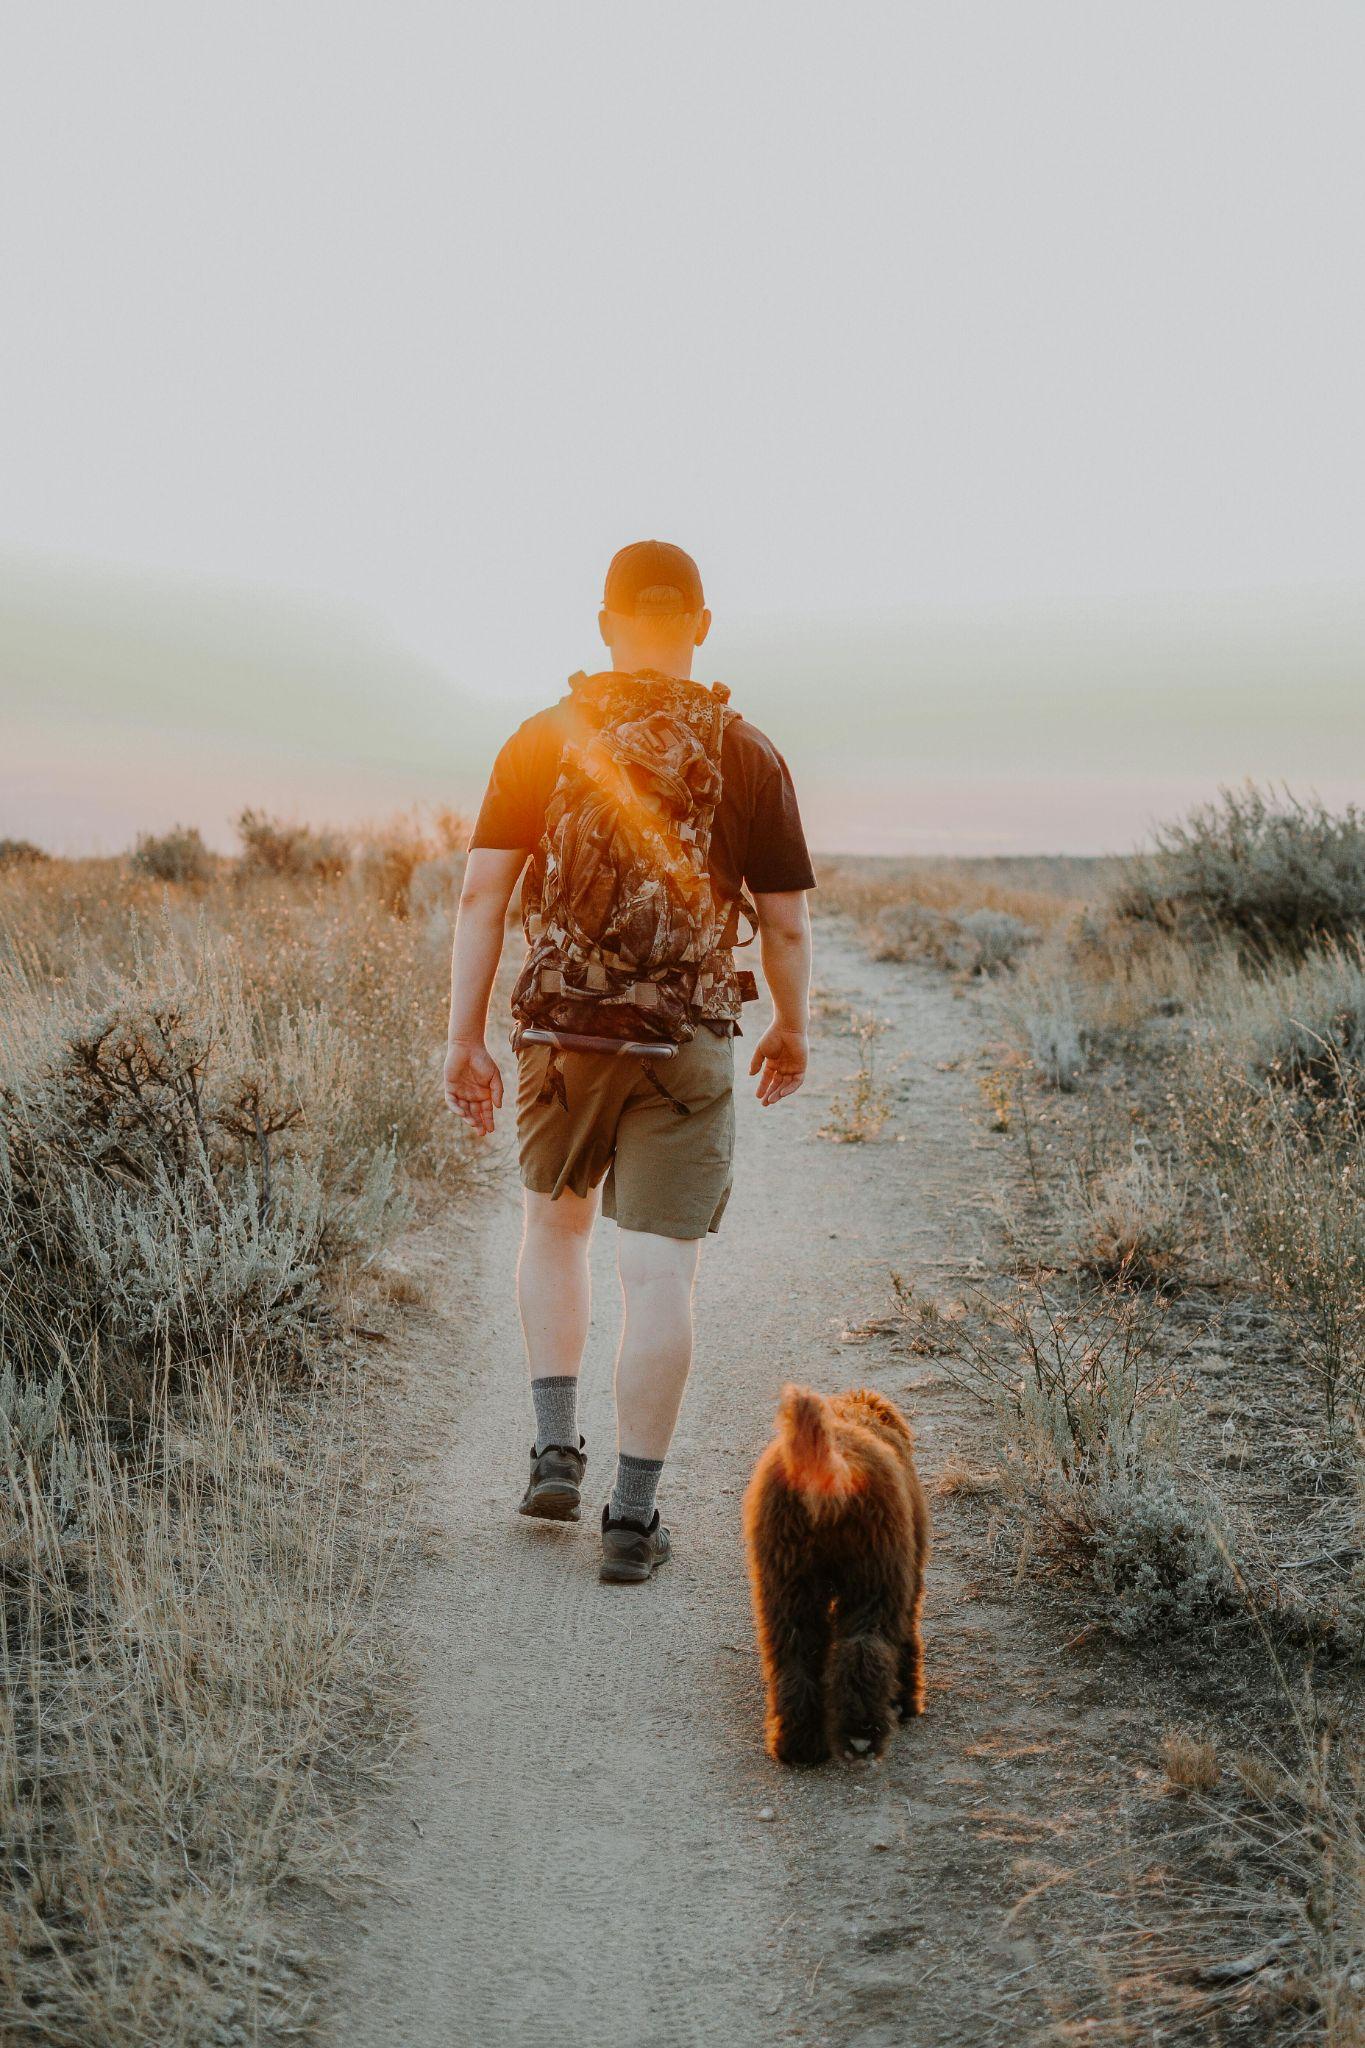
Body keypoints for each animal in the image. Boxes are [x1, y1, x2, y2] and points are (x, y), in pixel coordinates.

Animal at [749, 1384, 929, 1769]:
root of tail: (832, 1469)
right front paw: (907, 1701)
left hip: (788, 1583)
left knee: (796, 1655)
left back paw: (799, 1746)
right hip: (877, 1577)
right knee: (866, 1649)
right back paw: (862, 1737)